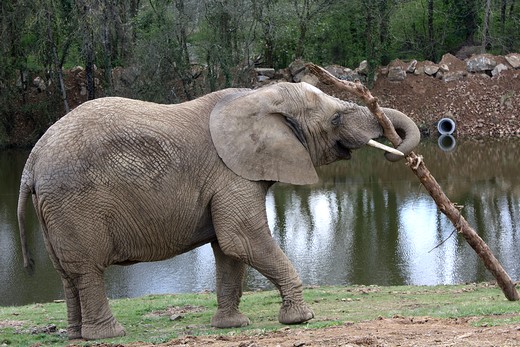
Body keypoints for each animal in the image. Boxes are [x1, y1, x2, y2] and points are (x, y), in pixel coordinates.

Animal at [17, 81, 422, 340]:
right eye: (335, 119)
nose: (400, 153)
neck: (256, 98)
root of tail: (31, 162)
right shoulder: (231, 173)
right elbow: (242, 239)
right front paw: (300, 319)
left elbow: (229, 250)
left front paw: (232, 326)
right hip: (75, 203)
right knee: (88, 269)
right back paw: (108, 334)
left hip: (55, 208)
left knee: (68, 273)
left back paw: (76, 335)